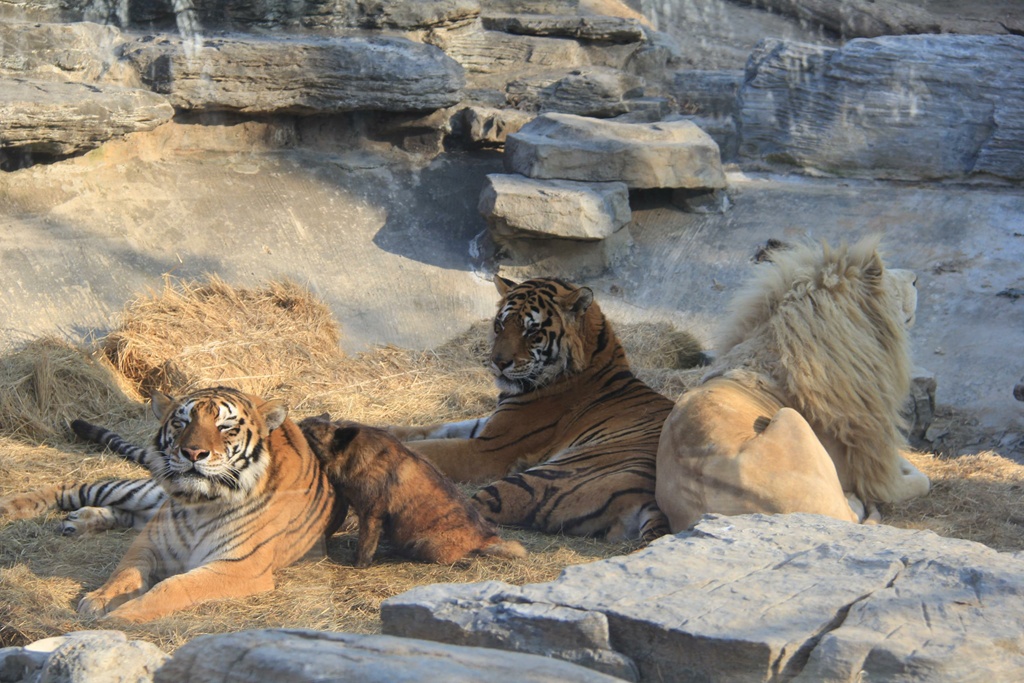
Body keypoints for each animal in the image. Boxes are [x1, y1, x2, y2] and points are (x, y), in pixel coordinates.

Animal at [0, 386, 345, 623]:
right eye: (181, 423)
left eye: (225, 427)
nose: (192, 453)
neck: (202, 504)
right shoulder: (150, 542)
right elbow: (124, 573)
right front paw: (100, 598)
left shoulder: (239, 566)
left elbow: (174, 587)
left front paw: (122, 616)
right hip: (143, 493)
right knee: (75, 487)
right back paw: (12, 506)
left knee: (122, 512)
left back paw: (79, 521)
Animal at [387, 276, 683, 543]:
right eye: (500, 325)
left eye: (532, 331)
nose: (498, 362)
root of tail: (652, 502)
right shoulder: (488, 426)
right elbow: (435, 428)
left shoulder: (489, 449)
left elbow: (429, 448)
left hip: (537, 480)